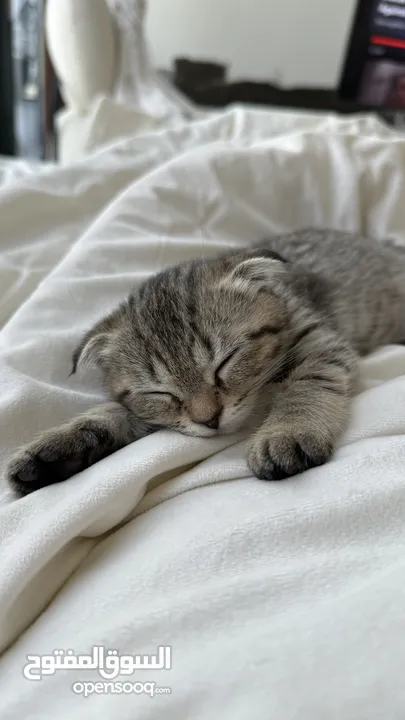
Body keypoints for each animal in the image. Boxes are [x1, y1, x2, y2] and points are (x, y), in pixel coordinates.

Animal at [7, 228, 405, 498]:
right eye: (161, 392)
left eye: (225, 362)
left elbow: (307, 384)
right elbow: (115, 412)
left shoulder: (320, 342)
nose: (209, 420)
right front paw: (54, 450)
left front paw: (286, 432)